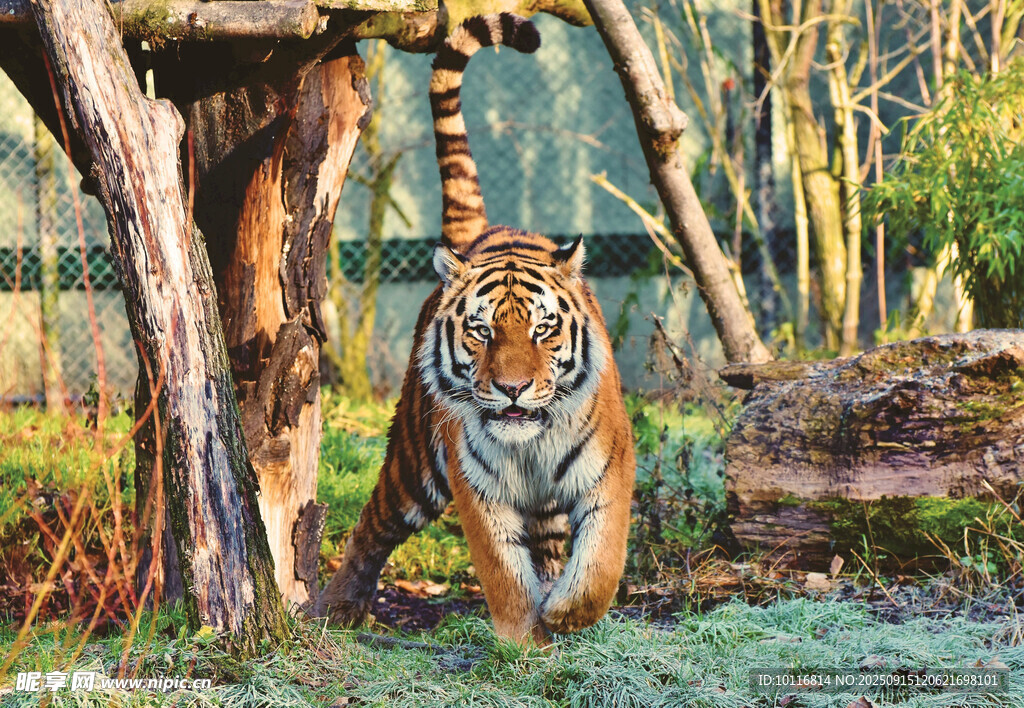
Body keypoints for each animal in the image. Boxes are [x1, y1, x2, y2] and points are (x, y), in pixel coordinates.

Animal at [319, 13, 636, 645]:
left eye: (543, 330)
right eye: (482, 333)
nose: (513, 389)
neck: (532, 444)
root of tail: (483, 233)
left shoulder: (610, 470)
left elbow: (601, 563)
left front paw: (564, 614)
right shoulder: (477, 488)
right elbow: (502, 572)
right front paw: (522, 638)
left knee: (550, 545)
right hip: (414, 464)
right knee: (371, 524)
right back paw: (336, 607)